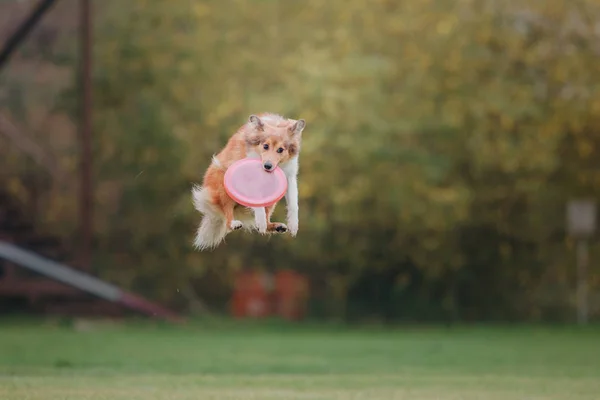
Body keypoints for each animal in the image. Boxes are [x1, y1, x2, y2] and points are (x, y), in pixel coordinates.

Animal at [191, 112, 304, 250]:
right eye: (265, 146)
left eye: (280, 150)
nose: (267, 166)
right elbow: (258, 205)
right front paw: (260, 221)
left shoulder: (290, 176)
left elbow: (293, 204)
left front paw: (293, 225)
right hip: (223, 186)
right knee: (227, 214)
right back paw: (235, 223)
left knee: (266, 220)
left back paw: (275, 226)